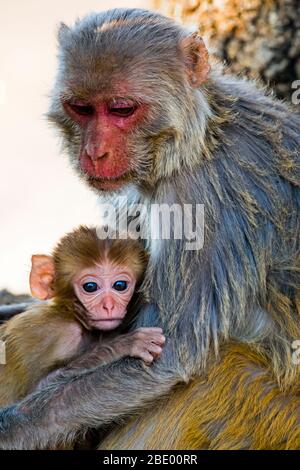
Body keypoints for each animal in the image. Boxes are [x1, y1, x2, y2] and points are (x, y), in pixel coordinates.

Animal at [0, 226, 164, 406]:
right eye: (90, 287)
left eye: (120, 285)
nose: (109, 306)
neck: (72, 316)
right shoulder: (41, 333)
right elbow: (37, 390)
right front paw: (124, 344)